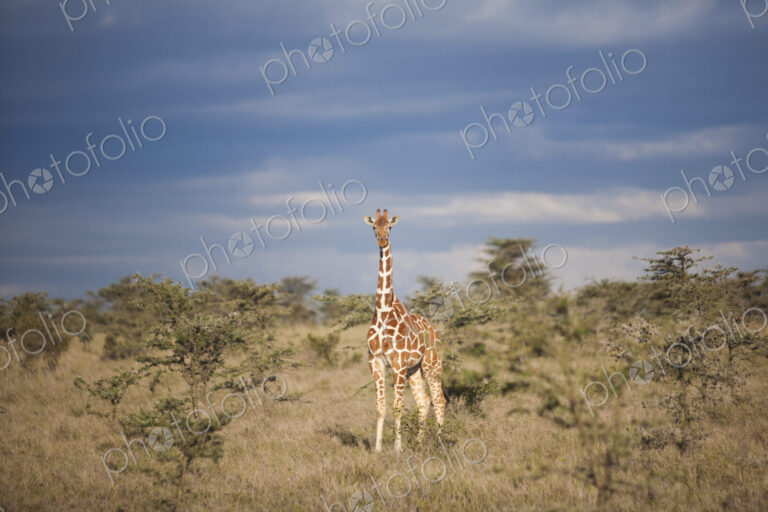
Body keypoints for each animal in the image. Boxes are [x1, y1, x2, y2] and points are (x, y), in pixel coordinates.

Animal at [364, 209, 446, 453]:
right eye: (374, 227)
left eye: (390, 227)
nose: (382, 240)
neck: (383, 311)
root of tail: (436, 331)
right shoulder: (375, 361)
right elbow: (380, 406)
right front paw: (377, 449)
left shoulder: (398, 364)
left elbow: (397, 406)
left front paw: (397, 449)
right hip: (414, 370)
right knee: (424, 401)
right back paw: (419, 444)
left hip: (431, 365)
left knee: (439, 399)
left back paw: (440, 442)